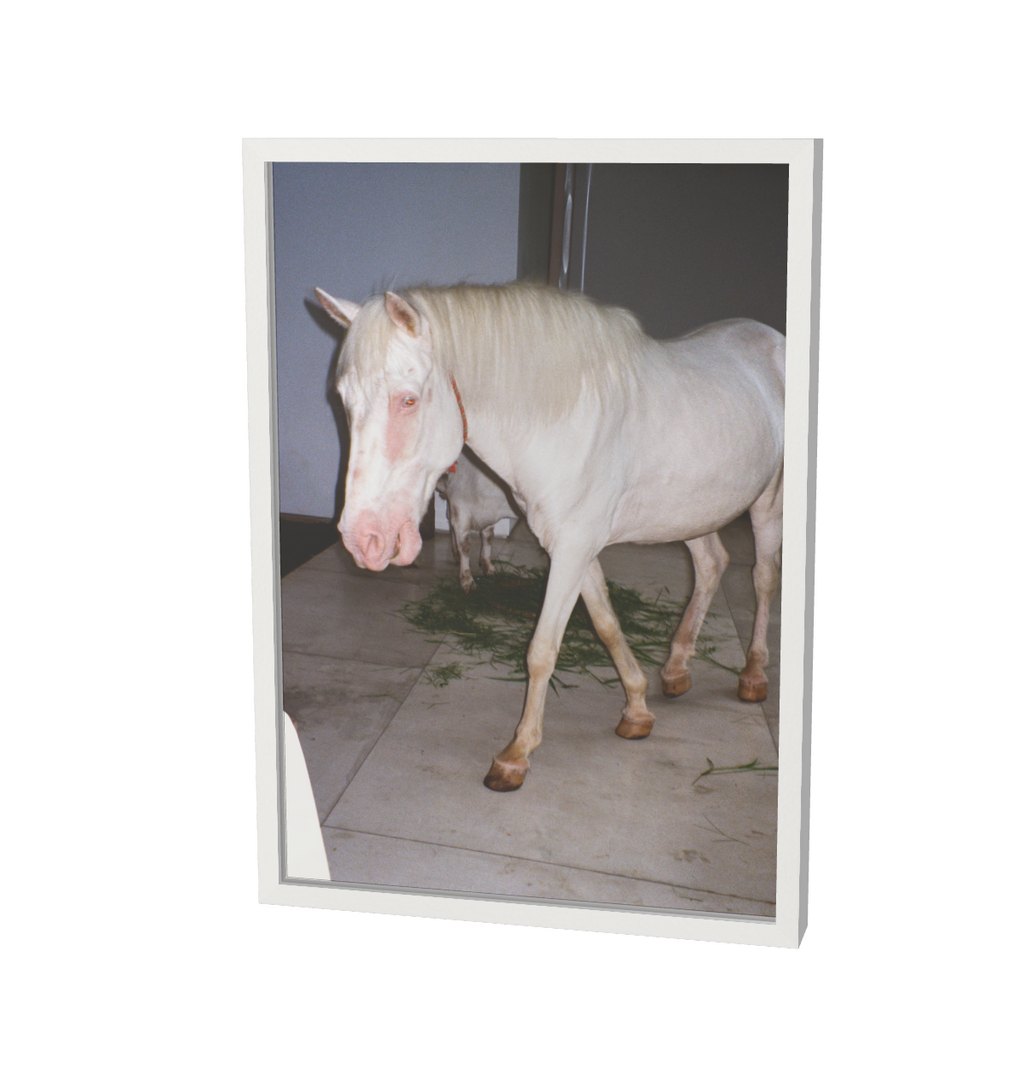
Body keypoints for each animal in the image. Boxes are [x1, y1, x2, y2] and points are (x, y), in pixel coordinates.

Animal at [436, 450, 521, 593]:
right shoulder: (461, 508)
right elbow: (465, 545)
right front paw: (467, 580)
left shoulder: (488, 514)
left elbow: (488, 537)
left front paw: (488, 567)